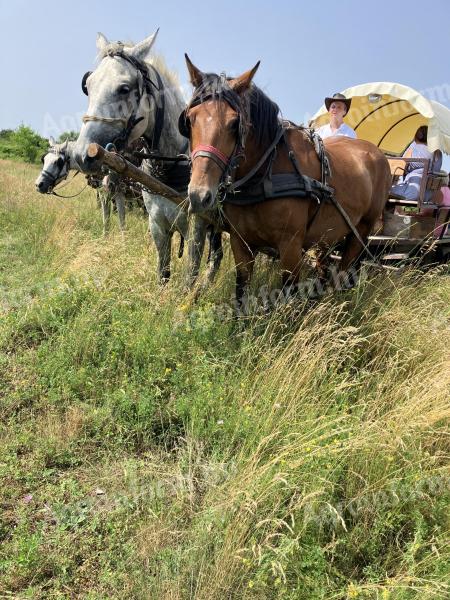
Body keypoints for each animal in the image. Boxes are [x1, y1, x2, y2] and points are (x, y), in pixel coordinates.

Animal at [73, 31, 221, 284]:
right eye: (88, 86)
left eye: (124, 88)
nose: (83, 153)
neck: (170, 166)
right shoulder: (157, 225)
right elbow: (163, 273)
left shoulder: (196, 229)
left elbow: (189, 277)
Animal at [181, 57, 392, 304]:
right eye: (189, 120)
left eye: (234, 124)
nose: (199, 195)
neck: (264, 174)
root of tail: (378, 153)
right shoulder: (240, 243)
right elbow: (241, 294)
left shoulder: (291, 247)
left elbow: (288, 293)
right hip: (329, 234)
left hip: (361, 230)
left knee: (346, 270)